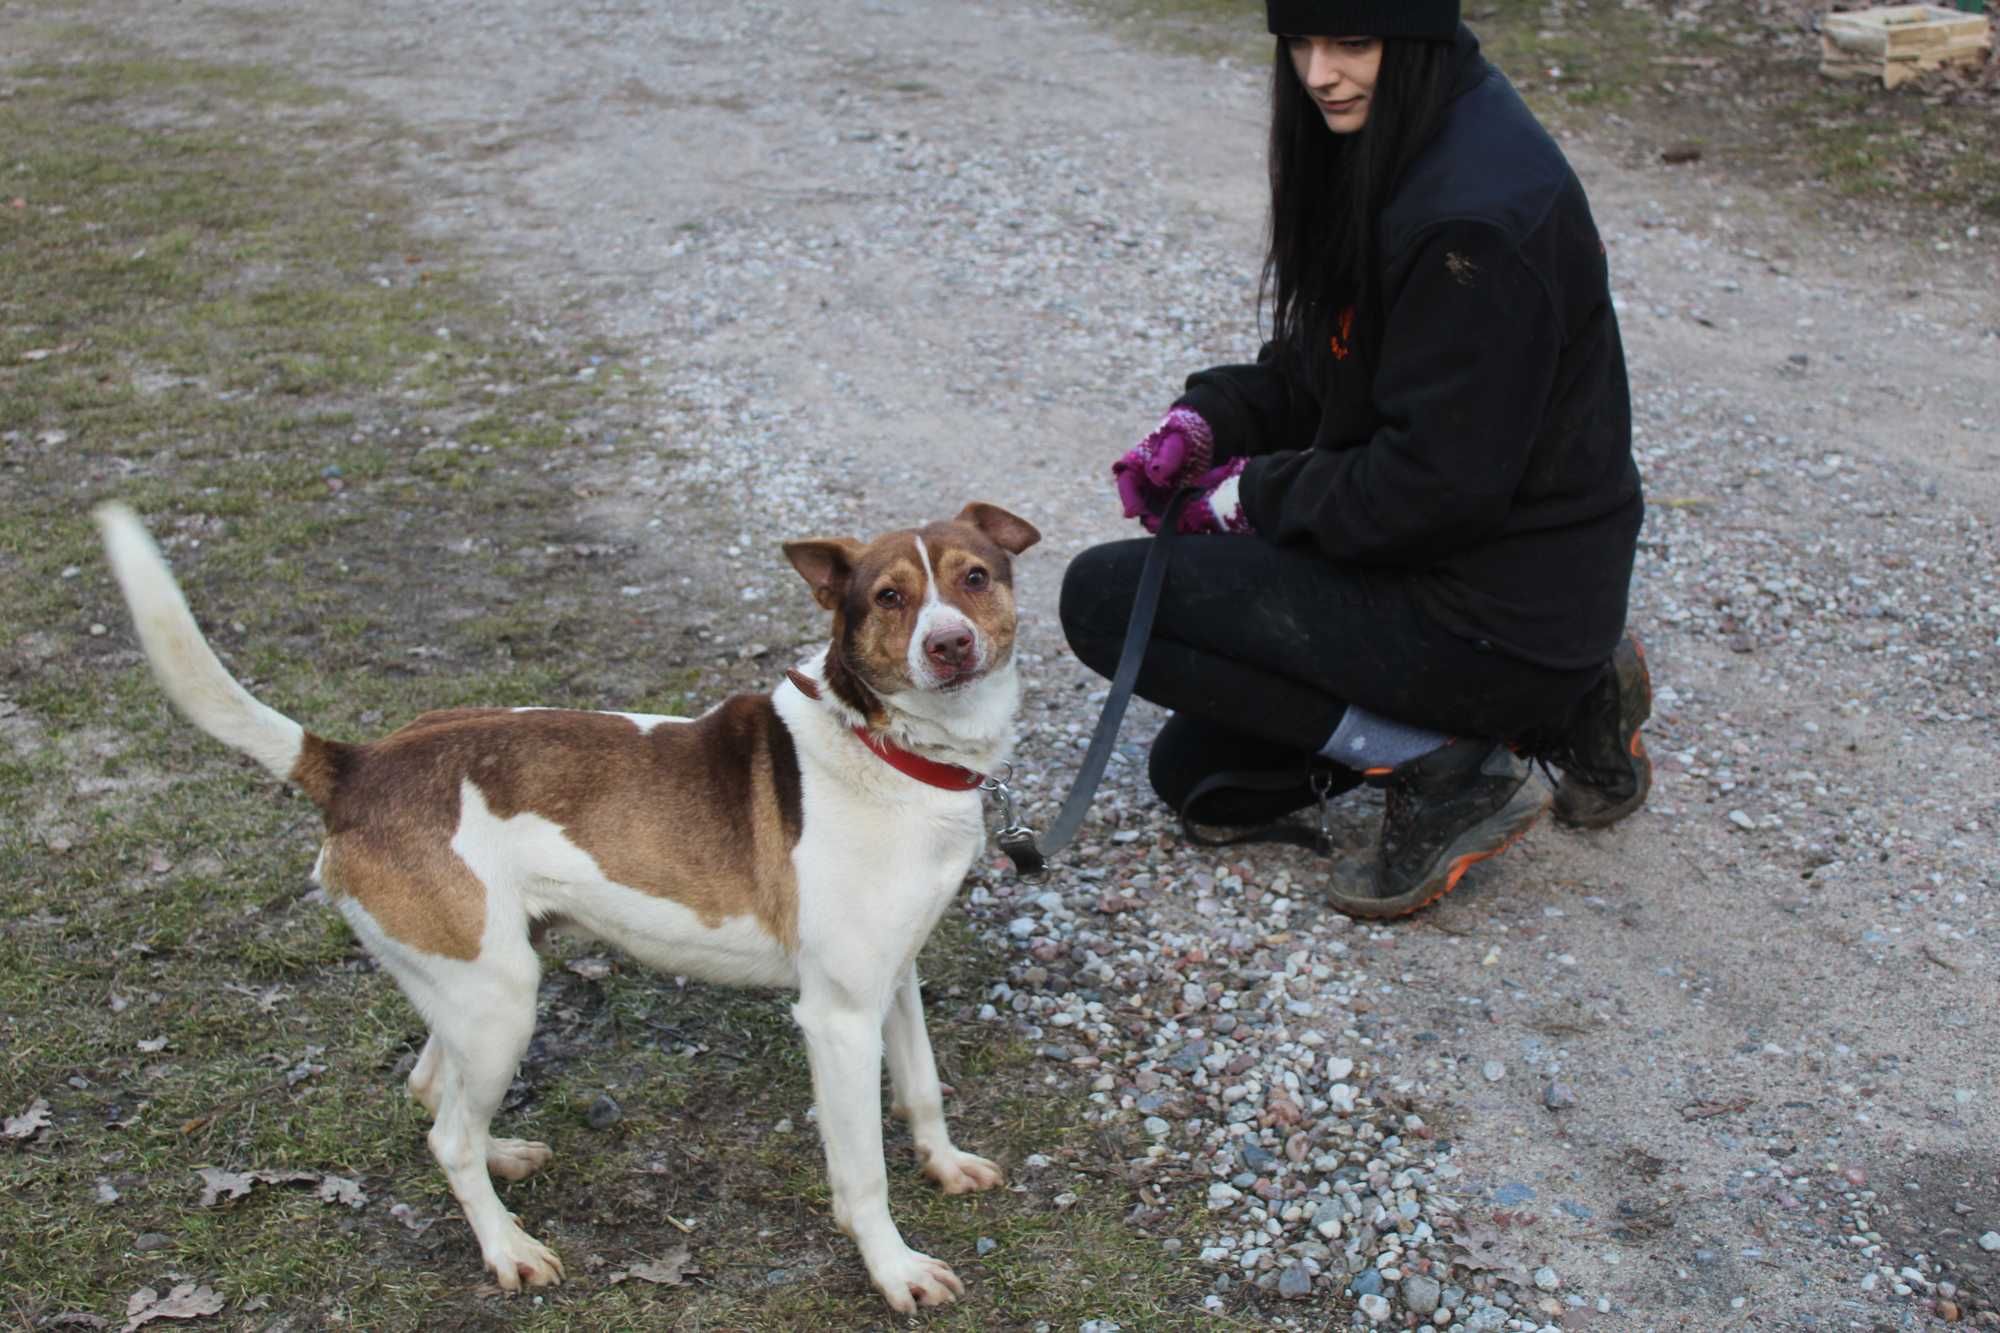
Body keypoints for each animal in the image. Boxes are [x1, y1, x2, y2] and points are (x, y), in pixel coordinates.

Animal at [90, 498, 1048, 1304]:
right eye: (889, 597)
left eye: (974, 576)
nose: (949, 645)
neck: (892, 750)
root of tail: (355, 765)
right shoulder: (838, 1016)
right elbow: (863, 1173)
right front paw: (894, 1268)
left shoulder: (897, 976)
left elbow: (921, 1088)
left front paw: (945, 1164)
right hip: (502, 1000)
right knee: (446, 1133)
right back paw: (508, 1247)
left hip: (481, 978)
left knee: (431, 1087)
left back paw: (502, 1154)